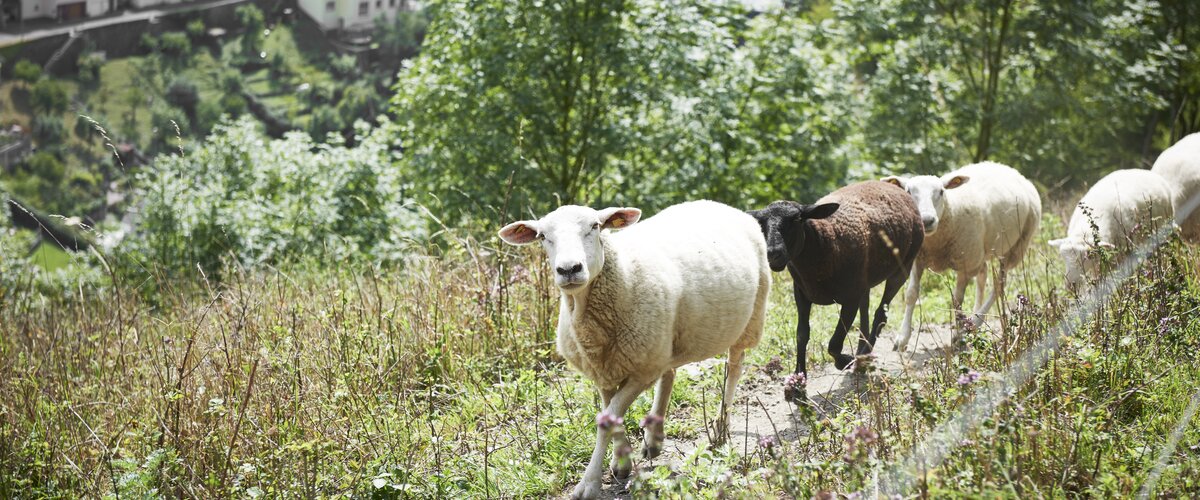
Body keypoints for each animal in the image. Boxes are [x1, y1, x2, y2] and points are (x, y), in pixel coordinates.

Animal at [496, 200, 768, 498]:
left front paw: (589, 483)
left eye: (595, 226)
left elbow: (609, 417)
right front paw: (621, 463)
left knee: (734, 368)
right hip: (662, 341)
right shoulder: (604, 371)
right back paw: (654, 438)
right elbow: (610, 416)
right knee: (669, 373)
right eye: (543, 236)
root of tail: (719, 204)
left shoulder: (641, 371)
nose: (569, 269)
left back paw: (721, 427)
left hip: (749, 319)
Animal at [748, 179, 926, 398]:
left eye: (797, 219)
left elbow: (834, 343)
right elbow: (802, 334)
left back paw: (862, 357)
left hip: (901, 268)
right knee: (866, 311)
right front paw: (798, 383)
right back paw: (862, 354)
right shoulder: (802, 293)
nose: (773, 254)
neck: (825, 242)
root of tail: (895, 186)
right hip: (864, 280)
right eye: (761, 224)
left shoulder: (849, 299)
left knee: (880, 313)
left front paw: (845, 361)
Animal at [883, 161, 1041, 347]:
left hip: (1014, 248)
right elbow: (911, 294)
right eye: (908, 191)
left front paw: (959, 334)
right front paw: (902, 338)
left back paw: (976, 322)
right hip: (981, 252)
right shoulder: (917, 260)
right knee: (983, 276)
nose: (926, 221)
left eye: (941, 192)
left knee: (999, 284)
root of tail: (1009, 169)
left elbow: (957, 299)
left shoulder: (965, 266)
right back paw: (974, 317)